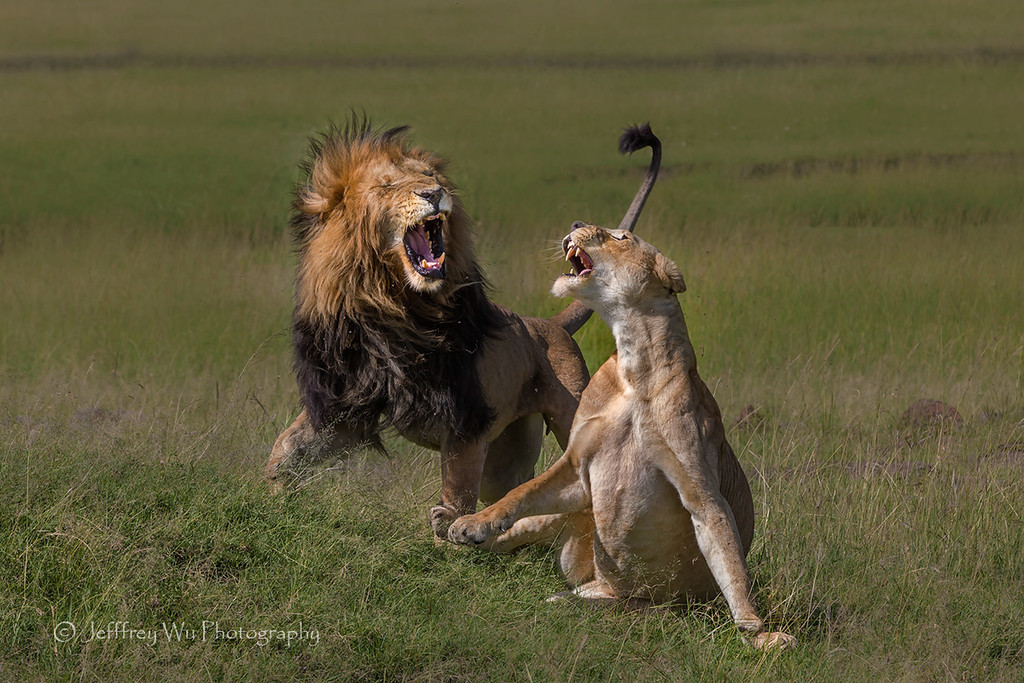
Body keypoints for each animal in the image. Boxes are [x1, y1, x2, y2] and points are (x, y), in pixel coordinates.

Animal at [268, 117, 659, 536]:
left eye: (431, 177)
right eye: (387, 185)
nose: (434, 193)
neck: (396, 309)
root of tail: (547, 323)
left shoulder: (466, 416)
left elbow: (457, 488)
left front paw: (448, 531)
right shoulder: (345, 400)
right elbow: (289, 444)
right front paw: (273, 492)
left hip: (569, 411)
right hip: (504, 460)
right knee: (514, 486)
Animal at [452, 225, 794, 651]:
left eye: (621, 236)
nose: (575, 223)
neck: (636, 365)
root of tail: (595, 582)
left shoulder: (699, 484)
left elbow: (726, 549)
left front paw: (757, 632)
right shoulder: (576, 469)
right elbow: (521, 492)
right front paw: (473, 523)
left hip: (651, 606)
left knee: (602, 605)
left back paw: (570, 599)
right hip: (568, 520)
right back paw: (446, 529)